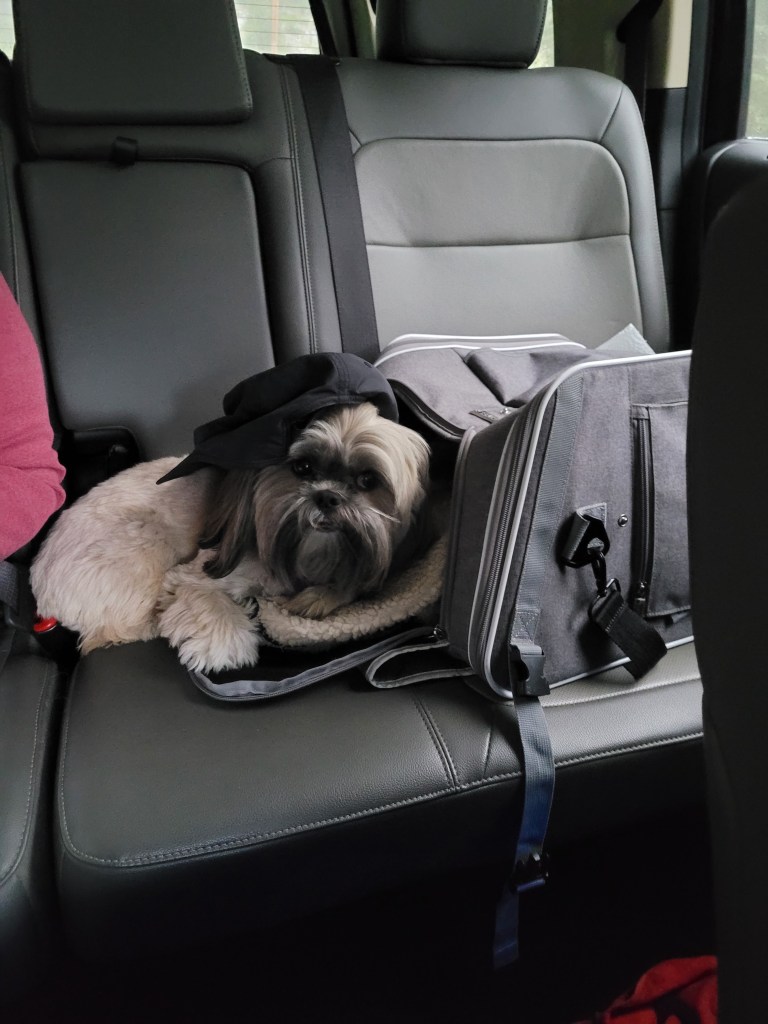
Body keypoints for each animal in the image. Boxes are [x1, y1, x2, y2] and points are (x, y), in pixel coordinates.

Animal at [30, 403, 431, 673]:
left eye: (367, 480)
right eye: (302, 468)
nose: (327, 496)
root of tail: (40, 582)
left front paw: (319, 597)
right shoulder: (196, 574)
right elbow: (208, 603)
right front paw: (229, 644)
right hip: (146, 543)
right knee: (111, 630)